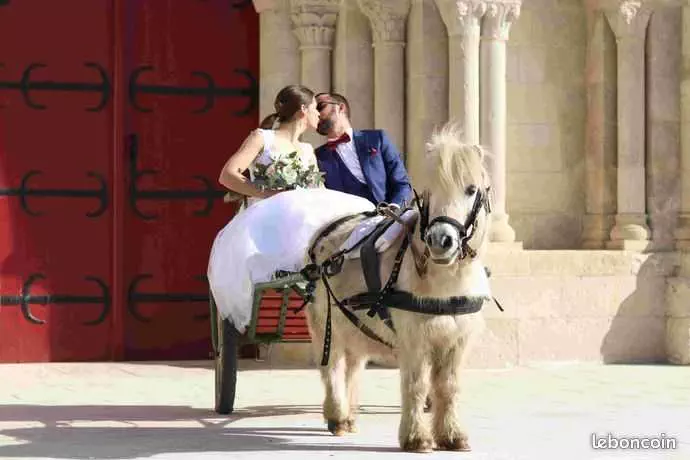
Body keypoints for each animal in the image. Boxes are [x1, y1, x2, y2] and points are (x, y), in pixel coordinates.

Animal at [304, 123, 492, 452]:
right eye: (428, 192)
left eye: (471, 189)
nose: (440, 241)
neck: (442, 281)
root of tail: (325, 232)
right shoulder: (414, 337)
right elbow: (416, 385)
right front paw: (416, 437)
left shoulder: (457, 339)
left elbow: (448, 386)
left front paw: (452, 434)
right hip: (326, 323)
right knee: (333, 367)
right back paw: (337, 415)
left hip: (354, 325)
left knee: (353, 365)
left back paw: (349, 416)